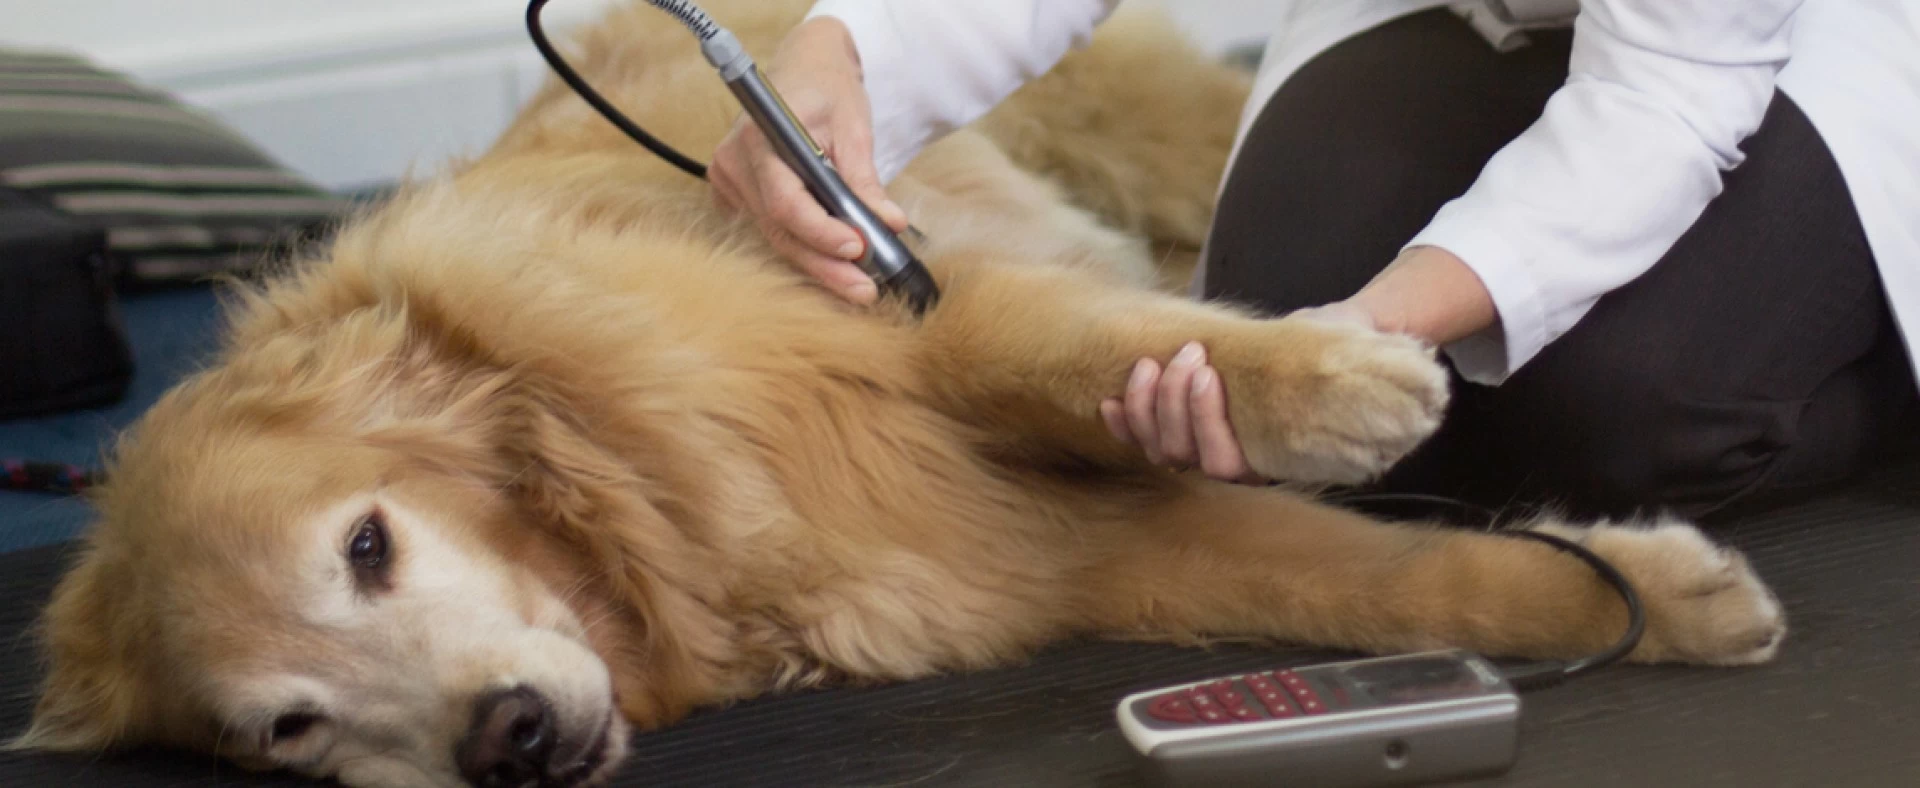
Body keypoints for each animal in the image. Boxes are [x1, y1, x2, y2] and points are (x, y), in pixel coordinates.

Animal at [11, 1, 1781, 788]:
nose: (506, 743)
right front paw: (1651, 597)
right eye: (292, 728)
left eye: (369, 548)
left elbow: (1071, 348)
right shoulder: (1068, 555)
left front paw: (1335, 383)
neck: (643, 518)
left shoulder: (880, 302)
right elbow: (1385, 585)